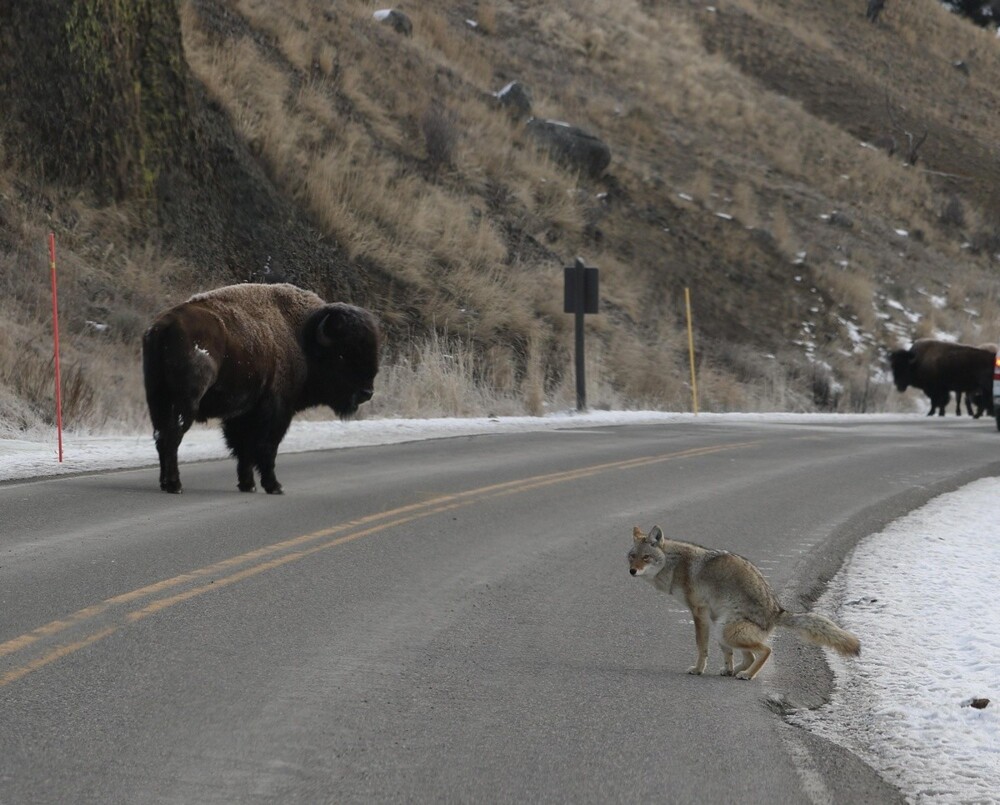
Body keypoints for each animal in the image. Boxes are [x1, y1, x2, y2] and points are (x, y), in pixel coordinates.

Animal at [140, 282, 376, 496]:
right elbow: (266, 448)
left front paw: (248, 484)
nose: (367, 393)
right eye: (342, 354)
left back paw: (165, 483)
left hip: (157, 399)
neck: (302, 338)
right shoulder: (276, 411)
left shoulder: (242, 414)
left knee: (161, 436)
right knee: (173, 436)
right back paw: (175, 485)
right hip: (185, 402)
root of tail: (164, 327)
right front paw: (274, 486)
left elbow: (243, 449)